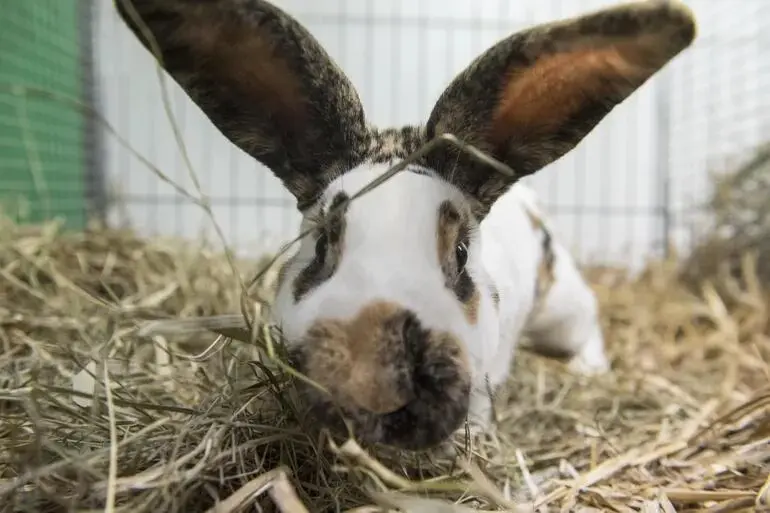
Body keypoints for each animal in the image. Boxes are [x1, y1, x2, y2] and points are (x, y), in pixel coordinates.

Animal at [115, 0, 696, 448]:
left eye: (460, 255)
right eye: (323, 243)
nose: (376, 374)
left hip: (563, 305)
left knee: (589, 326)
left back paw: (585, 371)